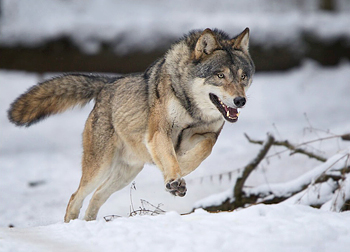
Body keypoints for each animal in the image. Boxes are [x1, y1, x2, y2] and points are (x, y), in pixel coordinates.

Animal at [7, 27, 254, 221]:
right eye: (220, 76)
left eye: (243, 77)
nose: (240, 101)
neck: (192, 109)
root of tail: (107, 84)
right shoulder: (158, 134)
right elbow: (172, 158)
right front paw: (174, 177)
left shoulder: (206, 135)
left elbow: (203, 150)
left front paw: (178, 171)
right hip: (100, 168)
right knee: (75, 197)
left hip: (125, 175)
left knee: (96, 197)